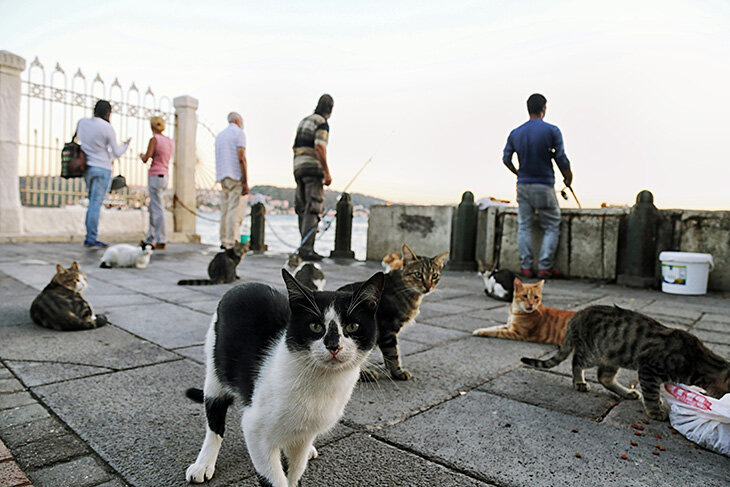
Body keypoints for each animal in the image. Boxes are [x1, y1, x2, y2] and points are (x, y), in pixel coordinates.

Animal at [185, 268, 384, 486]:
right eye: (315, 326)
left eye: (353, 327)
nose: (334, 346)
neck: (321, 382)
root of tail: (242, 285)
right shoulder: (255, 427)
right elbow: (274, 477)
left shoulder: (303, 437)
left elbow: (295, 468)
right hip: (215, 371)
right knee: (215, 420)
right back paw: (204, 463)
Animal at [336, 244, 446, 382]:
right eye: (418, 274)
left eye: (434, 275)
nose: (428, 287)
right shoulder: (387, 330)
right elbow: (393, 354)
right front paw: (398, 372)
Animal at [520, 306, 728, 422]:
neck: (697, 359)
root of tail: (575, 316)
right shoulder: (648, 367)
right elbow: (651, 392)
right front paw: (655, 410)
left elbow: (654, 391)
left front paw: (657, 401)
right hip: (591, 353)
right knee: (576, 362)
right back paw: (579, 382)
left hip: (613, 357)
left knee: (603, 377)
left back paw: (627, 392)